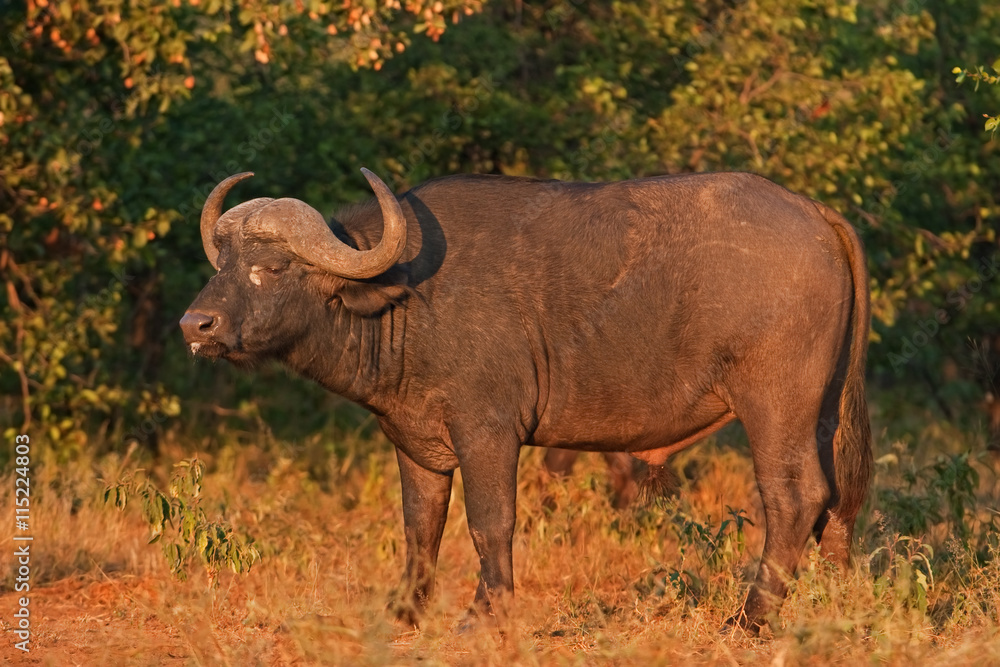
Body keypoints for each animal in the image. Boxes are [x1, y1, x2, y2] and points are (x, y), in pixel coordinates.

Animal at [181, 168, 872, 632]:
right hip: (825, 412)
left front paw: (485, 614)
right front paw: (404, 612)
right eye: (223, 264)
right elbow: (420, 526)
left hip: (775, 407)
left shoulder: (487, 432)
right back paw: (838, 600)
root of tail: (815, 213)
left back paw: (751, 618)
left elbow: (490, 522)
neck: (407, 298)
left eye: (273, 268)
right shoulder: (417, 444)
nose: (196, 325)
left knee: (794, 497)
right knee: (837, 500)